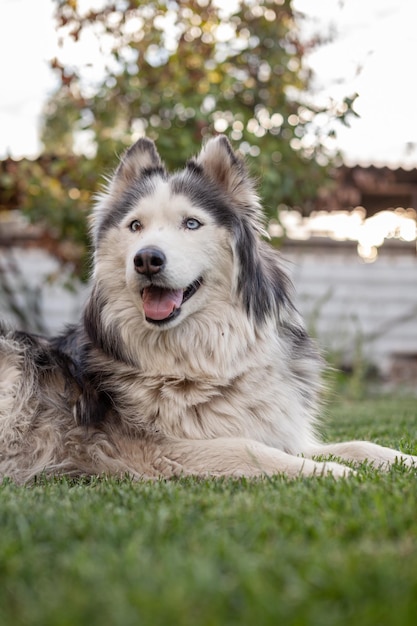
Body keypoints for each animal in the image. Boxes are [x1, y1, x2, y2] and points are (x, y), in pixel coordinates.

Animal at [0, 134, 416, 480]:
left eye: (191, 223)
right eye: (135, 226)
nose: (146, 259)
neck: (202, 358)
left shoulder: (277, 430)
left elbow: (359, 445)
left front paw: (402, 460)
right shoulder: (159, 450)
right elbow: (249, 449)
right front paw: (332, 472)